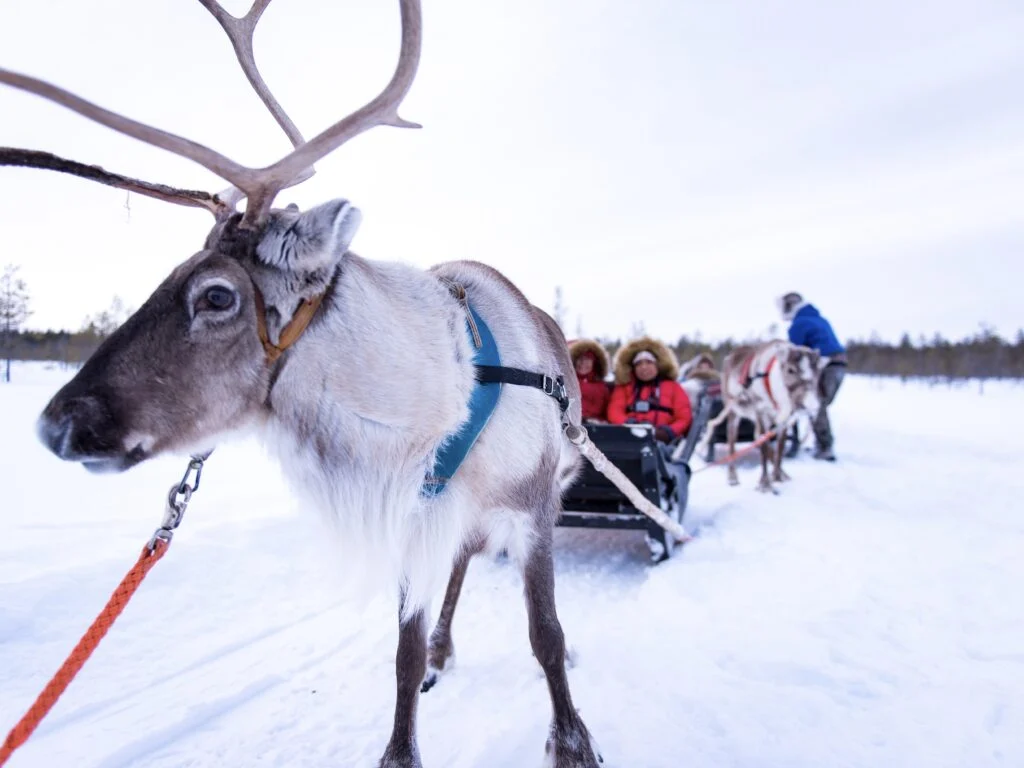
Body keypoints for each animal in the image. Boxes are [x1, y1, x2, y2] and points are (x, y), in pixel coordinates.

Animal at [0, 2, 604, 766]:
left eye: (217, 295)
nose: (57, 423)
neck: (436, 407)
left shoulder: (533, 508)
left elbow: (545, 634)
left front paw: (573, 740)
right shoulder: (414, 520)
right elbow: (402, 653)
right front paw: (402, 740)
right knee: (462, 567)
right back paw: (444, 650)